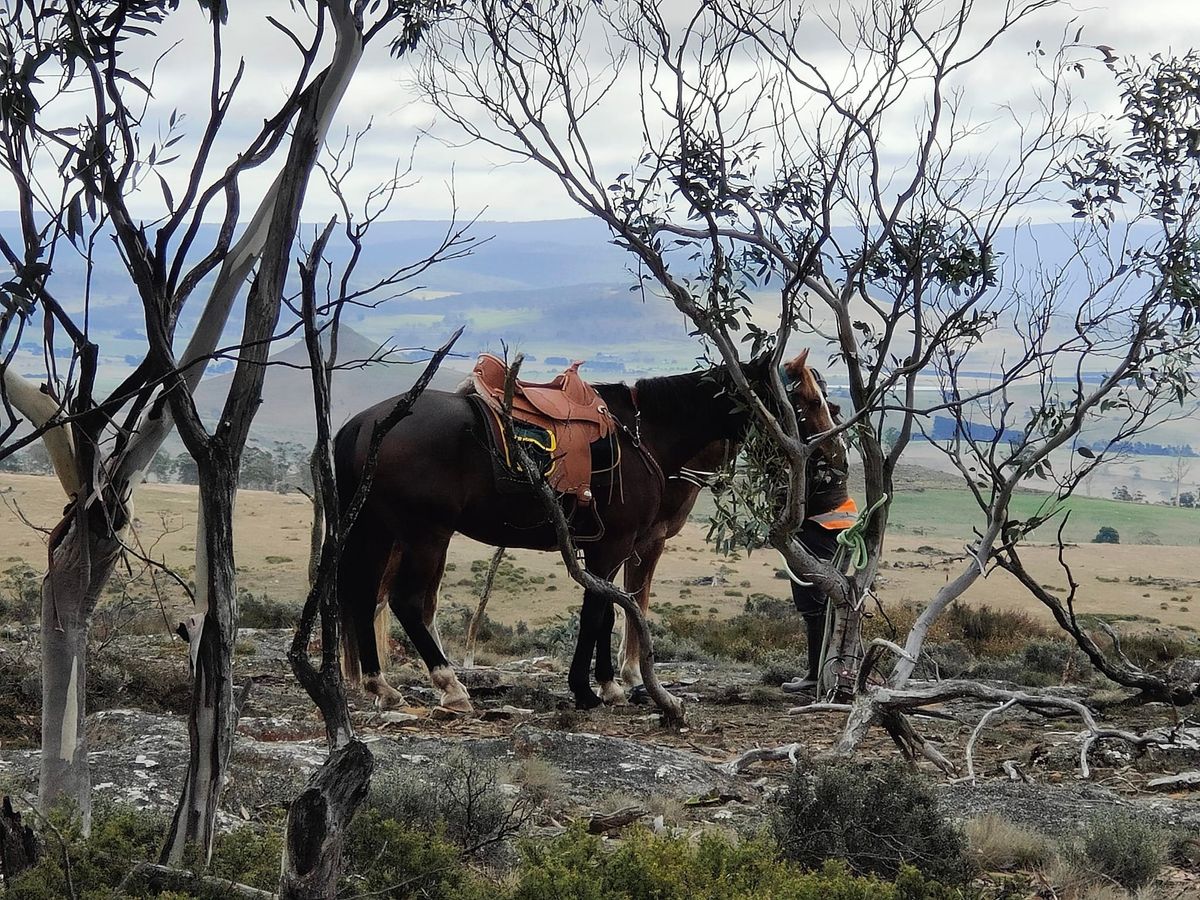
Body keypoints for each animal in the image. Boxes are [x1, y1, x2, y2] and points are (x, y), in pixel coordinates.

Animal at [333, 355, 772, 715]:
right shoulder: (615, 545)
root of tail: (364, 424)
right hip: (425, 535)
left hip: (378, 531)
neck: (643, 435)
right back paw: (450, 685)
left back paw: (382, 687)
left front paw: (608, 686)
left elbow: (606, 612)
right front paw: (587, 689)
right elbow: (597, 612)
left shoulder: (607, 549)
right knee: (406, 602)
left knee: (363, 595)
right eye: (776, 394)